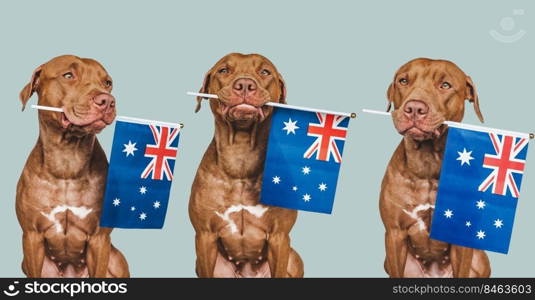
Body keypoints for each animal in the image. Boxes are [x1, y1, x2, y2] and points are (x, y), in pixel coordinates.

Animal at [16, 55, 130, 278]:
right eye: (68, 75)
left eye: (107, 83)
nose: (107, 101)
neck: (67, 159)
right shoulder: (32, 237)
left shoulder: (99, 239)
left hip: (116, 260)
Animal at [191, 52, 304, 278]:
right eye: (224, 70)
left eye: (265, 71)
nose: (244, 84)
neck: (240, 155)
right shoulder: (205, 236)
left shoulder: (280, 237)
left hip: (294, 258)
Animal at [378, 57, 492, 278]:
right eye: (403, 81)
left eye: (445, 85)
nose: (414, 108)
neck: (427, 161)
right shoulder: (395, 234)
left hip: (480, 259)